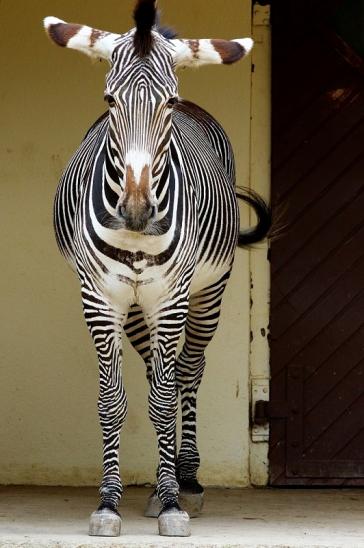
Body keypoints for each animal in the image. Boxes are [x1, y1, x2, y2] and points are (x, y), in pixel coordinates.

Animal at [42, 0, 270, 536]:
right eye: (109, 100)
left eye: (168, 103)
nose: (137, 209)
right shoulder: (100, 299)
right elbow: (113, 400)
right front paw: (108, 503)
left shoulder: (170, 299)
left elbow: (166, 399)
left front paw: (171, 504)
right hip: (135, 308)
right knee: (154, 374)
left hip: (207, 293)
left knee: (187, 371)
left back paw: (186, 480)